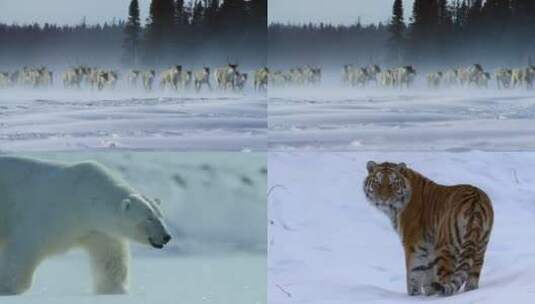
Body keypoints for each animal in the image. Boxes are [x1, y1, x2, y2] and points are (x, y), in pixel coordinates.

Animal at [0, 157, 172, 294]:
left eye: (160, 216)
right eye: (149, 218)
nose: (167, 237)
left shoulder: (97, 229)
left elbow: (110, 257)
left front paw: (115, 289)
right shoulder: (51, 215)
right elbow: (25, 246)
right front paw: (9, 286)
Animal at [364, 162, 494, 296]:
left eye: (393, 184)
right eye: (378, 183)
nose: (384, 199)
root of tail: (475, 203)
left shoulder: (413, 246)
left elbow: (413, 274)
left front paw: (414, 295)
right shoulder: (428, 248)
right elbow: (428, 276)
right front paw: (429, 294)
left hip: (446, 248)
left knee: (447, 279)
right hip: (480, 246)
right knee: (473, 275)